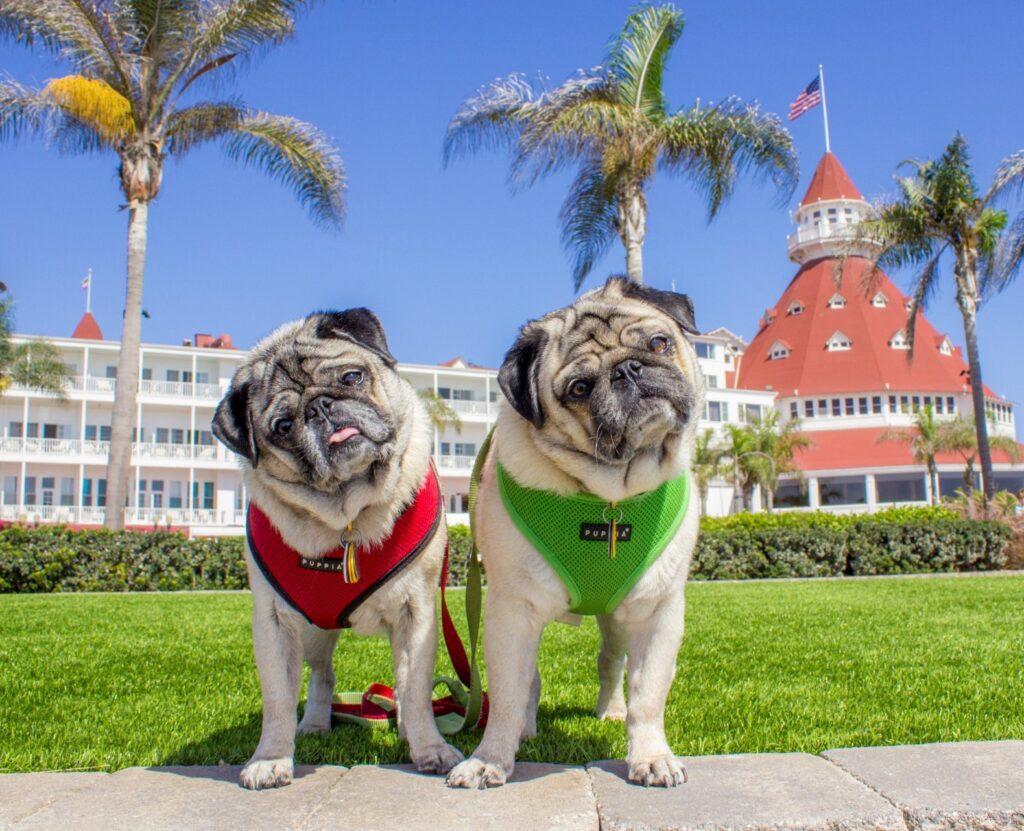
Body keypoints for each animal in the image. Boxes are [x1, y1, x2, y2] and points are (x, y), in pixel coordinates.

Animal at [216, 309, 464, 790]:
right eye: (283, 427)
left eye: (352, 376)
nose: (319, 406)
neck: (349, 516)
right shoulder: (274, 623)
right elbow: (277, 698)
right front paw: (271, 758)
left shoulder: (417, 614)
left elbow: (416, 687)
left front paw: (429, 747)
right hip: (315, 632)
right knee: (322, 677)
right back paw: (314, 723)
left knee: (402, 687)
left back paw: (404, 725)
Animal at [448, 276, 704, 790]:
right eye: (580, 388)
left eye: (659, 343)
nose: (627, 369)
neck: (610, 494)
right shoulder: (511, 612)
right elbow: (506, 695)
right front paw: (490, 759)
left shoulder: (657, 613)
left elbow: (649, 696)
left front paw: (651, 756)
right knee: (528, 681)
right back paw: (526, 729)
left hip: (618, 620)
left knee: (611, 663)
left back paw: (611, 711)